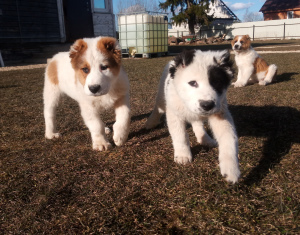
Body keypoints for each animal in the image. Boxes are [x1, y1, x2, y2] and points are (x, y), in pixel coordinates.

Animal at [146, 49, 240, 184]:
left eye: (217, 82)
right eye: (192, 83)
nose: (207, 105)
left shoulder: (220, 113)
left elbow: (229, 138)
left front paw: (231, 169)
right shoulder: (174, 113)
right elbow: (180, 135)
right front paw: (183, 155)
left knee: (197, 124)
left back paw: (205, 139)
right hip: (162, 96)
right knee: (157, 108)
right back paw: (150, 122)